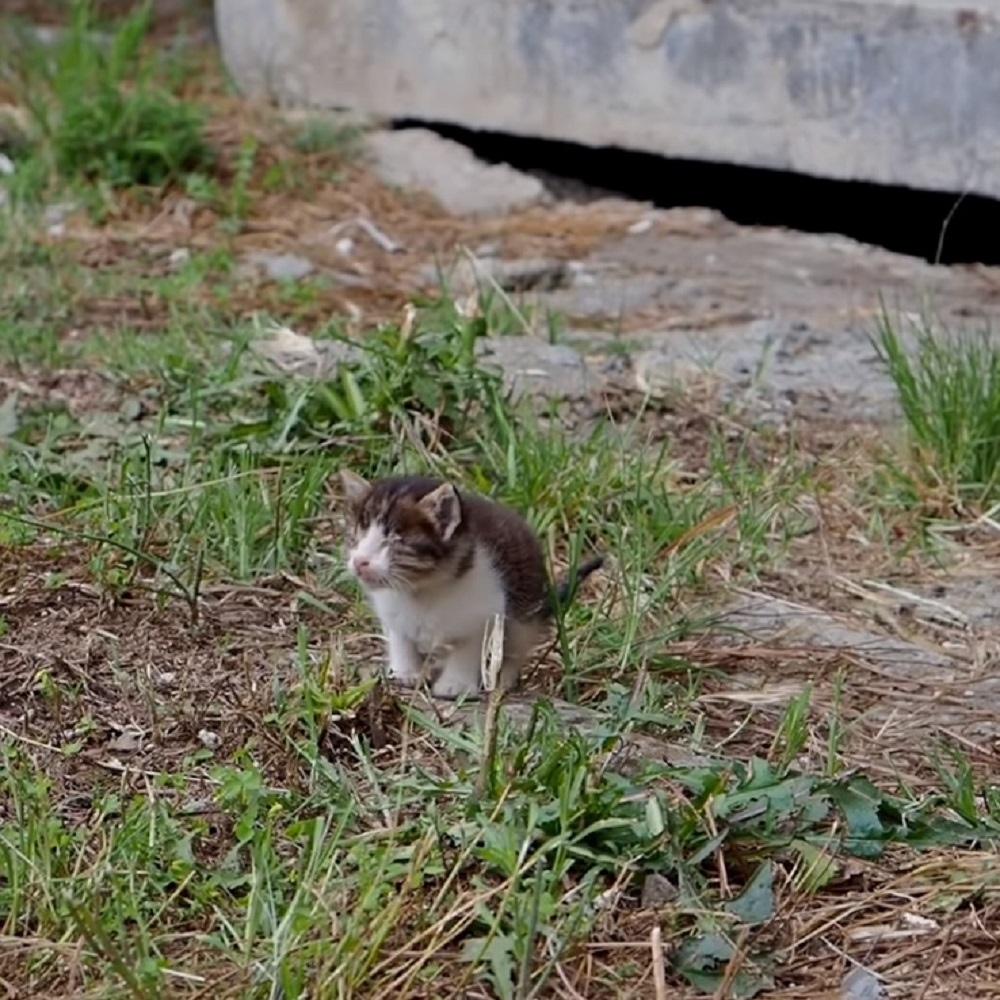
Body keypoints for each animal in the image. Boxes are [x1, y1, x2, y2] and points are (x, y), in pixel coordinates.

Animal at [340, 470, 600, 700]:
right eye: (358, 535)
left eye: (394, 539)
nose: (360, 561)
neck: (423, 590)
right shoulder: (392, 615)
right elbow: (401, 640)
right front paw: (405, 672)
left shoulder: (485, 614)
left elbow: (467, 651)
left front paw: (455, 684)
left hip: (525, 610)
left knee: (516, 646)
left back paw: (503, 677)